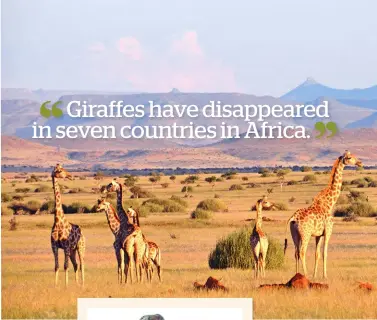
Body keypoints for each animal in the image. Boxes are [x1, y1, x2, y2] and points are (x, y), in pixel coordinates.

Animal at [284, 150, 362, 278]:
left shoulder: (318, 235)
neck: (329, 203)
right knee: (302, 252)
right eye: (349, 157)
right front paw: (325, 275)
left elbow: (317, 254)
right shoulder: (328, 231)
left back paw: (297, 275)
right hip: (305, 234)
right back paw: (305, 274)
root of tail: (293, 218)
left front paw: (315, 275)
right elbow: (325, 253)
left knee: (296, 252)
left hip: (294, 234)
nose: (360, 163)